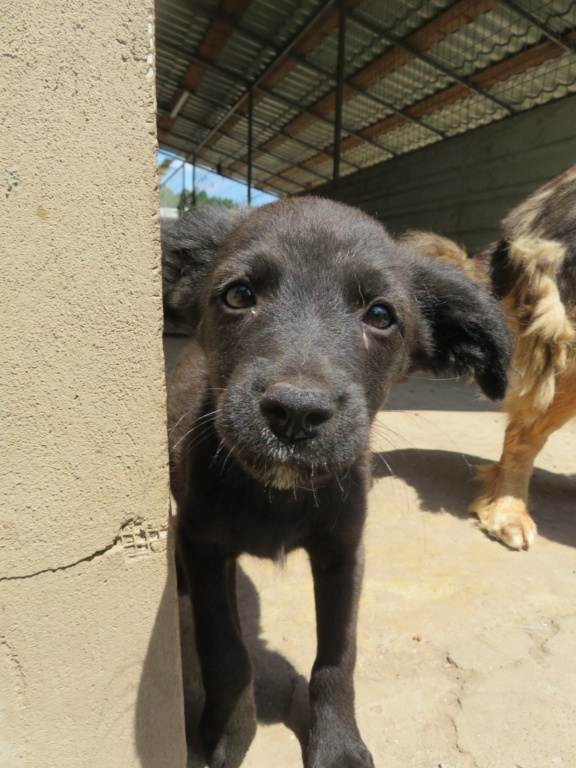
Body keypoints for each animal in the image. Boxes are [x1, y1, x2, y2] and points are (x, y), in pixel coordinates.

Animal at [161, 200, 508, 768]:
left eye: (381, 316)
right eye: (239, 295)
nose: (296, 413)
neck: (276, 496)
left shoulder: (343, 552)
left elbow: (337, 658)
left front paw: (338, 744)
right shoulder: (207, 545)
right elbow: (226, 651)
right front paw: (224, 736)